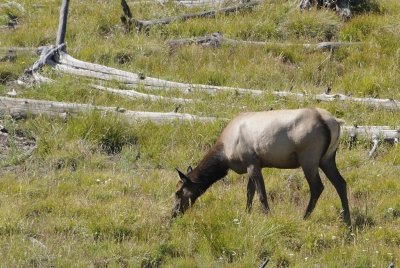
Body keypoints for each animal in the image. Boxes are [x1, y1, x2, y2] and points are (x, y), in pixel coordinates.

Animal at [172, 108, 350, 225]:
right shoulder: (253, 165)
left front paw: (268, 216)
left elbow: (261, 195)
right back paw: (347, 220)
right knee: (341, 183)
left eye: (178, 193)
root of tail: (334, 123)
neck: (225, 154)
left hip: (309, 158)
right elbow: (249, 192)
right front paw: (247, 213)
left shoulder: (252, 163)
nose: (174, 213)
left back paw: (305, 217)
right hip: (327, 158)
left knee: (317, 187)